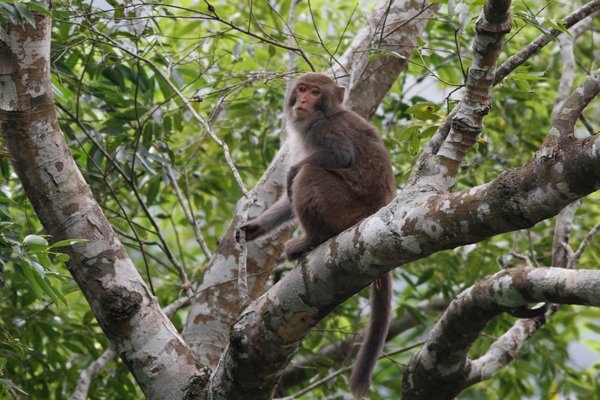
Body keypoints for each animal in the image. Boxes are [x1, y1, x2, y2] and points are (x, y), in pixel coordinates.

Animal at [237, 72, 396, 396]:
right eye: (301, 89)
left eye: (315, 92)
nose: (302, 100)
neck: (322, 116)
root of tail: (374, 215)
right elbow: (286, 203)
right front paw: (254, 228)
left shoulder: (324, 132)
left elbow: (336, 156)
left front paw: (292, 172)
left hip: (346, 210)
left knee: (310, 175)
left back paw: (312, 240)